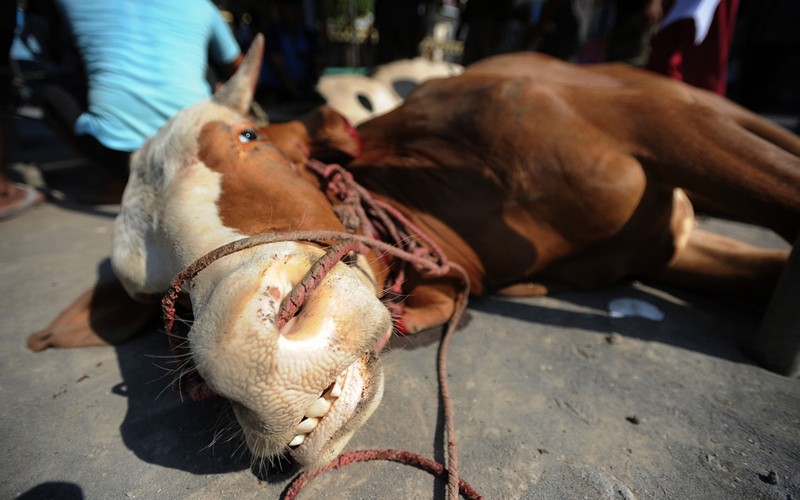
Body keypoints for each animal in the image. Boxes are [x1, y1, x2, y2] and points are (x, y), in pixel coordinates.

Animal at [25, 36, 800, 472]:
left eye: (248, 138)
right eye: (146, 293)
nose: (245, 360)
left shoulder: (663, 124)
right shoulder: (664, 253)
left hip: (707, 111)